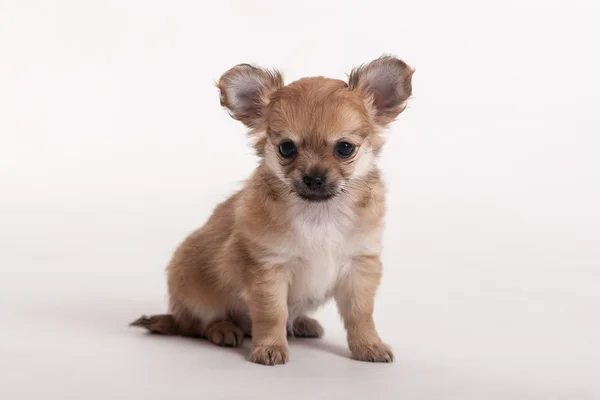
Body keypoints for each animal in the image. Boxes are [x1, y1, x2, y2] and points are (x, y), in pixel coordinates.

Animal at [131, 56, 412, 366]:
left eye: (345, 148)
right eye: (286, 148)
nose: (314, 178)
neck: (320, 214)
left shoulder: (359, 266)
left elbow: (360, 314)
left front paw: (368, 345)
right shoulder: (268, 267)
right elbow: (271, 313)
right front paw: (270, 348)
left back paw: (302, 324)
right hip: (195, 290)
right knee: (199, 324)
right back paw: (223, 329)